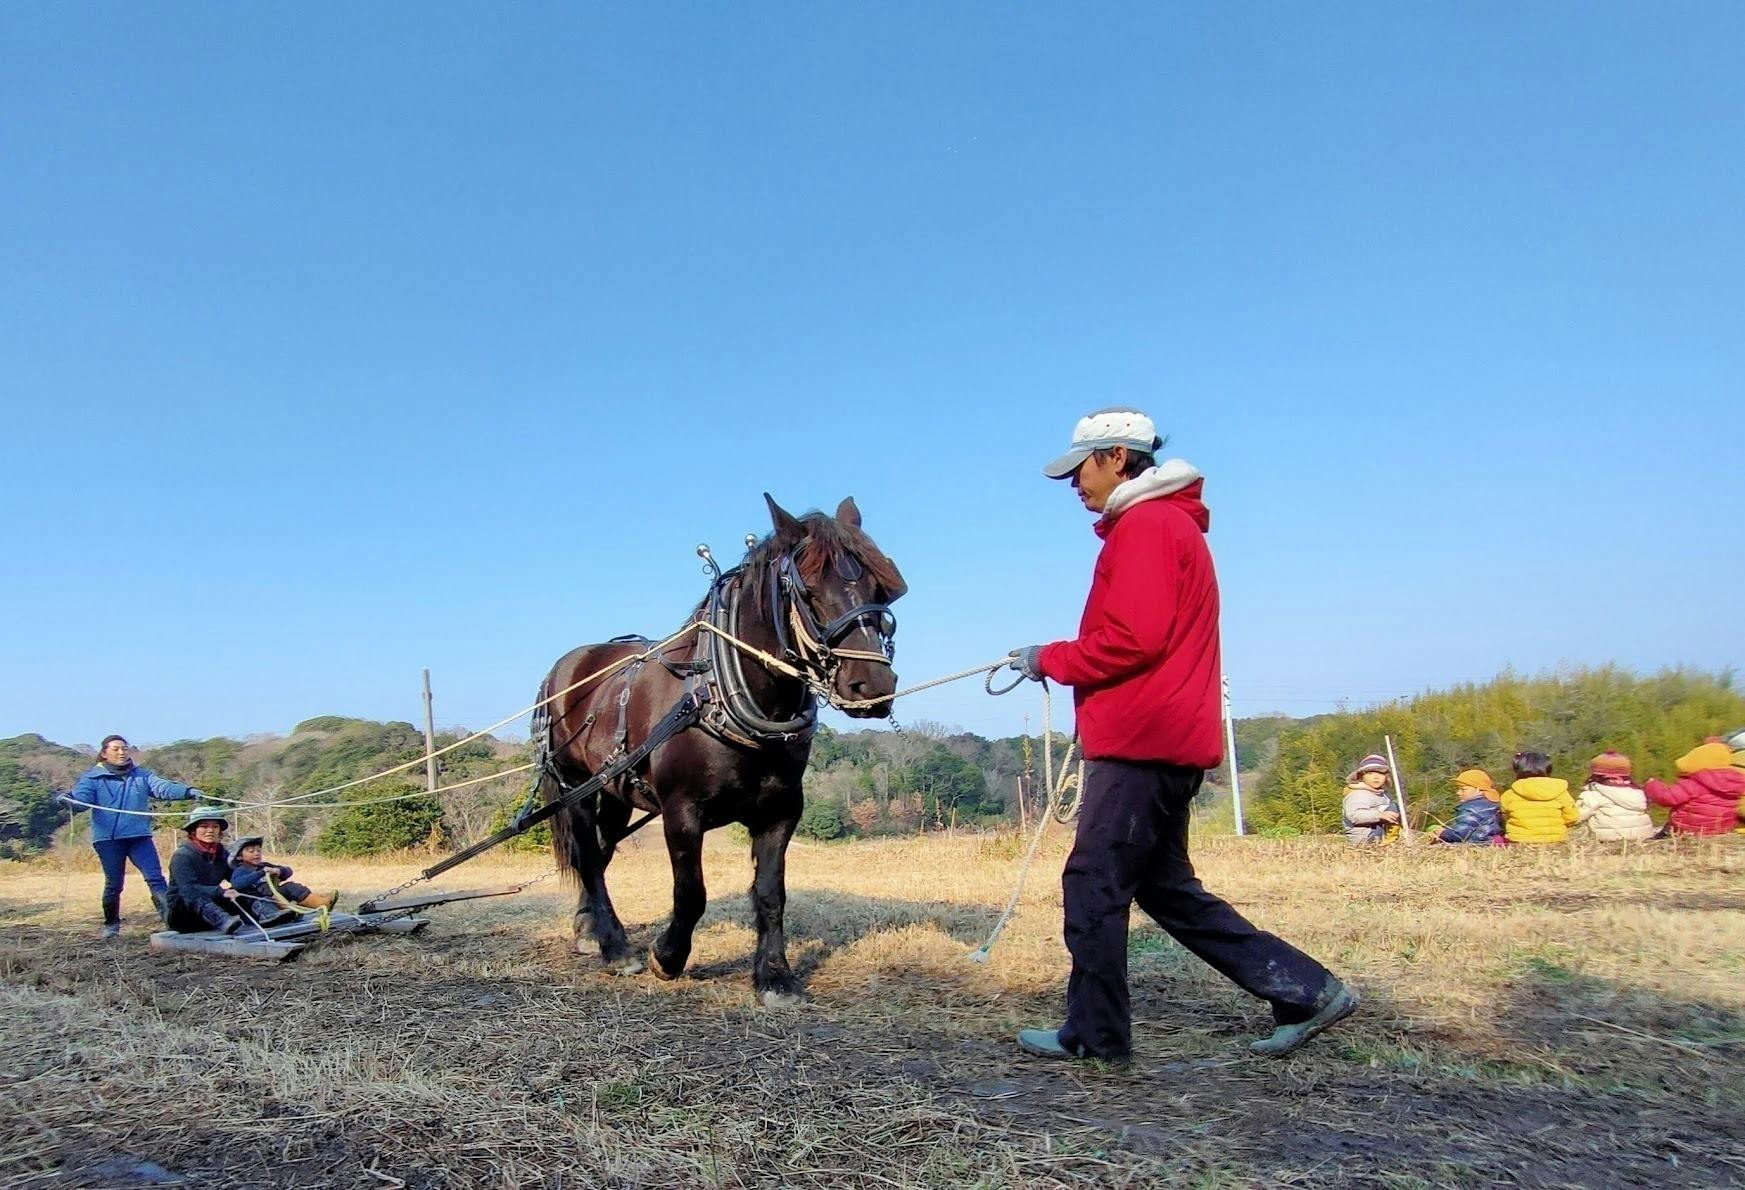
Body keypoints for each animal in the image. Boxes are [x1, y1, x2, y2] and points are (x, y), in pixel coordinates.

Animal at [537, 492, 907, 998]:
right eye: (808, 589)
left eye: (879, 587)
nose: (872, 685)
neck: (717, 692)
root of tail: (566, 666)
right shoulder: (682, 811)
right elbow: (691, 892)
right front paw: (666, 956)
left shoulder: (781, 810)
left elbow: (771, 893)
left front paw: (774, 976)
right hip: (574, 786)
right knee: (589, 858)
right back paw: (616, 949)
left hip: (614, 790)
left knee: (602, 848)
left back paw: (589, 930)